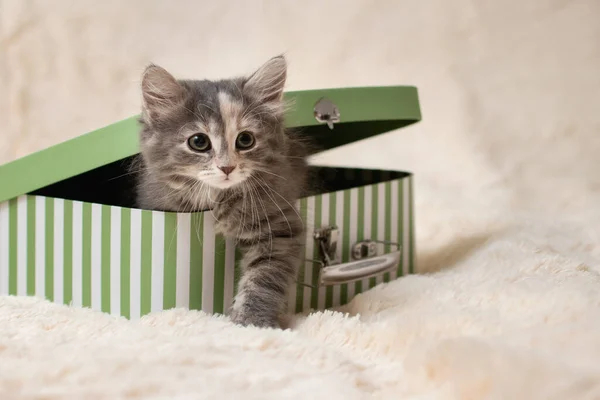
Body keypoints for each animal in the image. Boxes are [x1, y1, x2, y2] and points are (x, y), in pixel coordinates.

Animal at [134, 54, 308, 328]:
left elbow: (263, 280)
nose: (227, 167)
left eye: (245, 140)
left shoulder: (281, 224)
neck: (218, 198)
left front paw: (253, 322)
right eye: (198, 142)